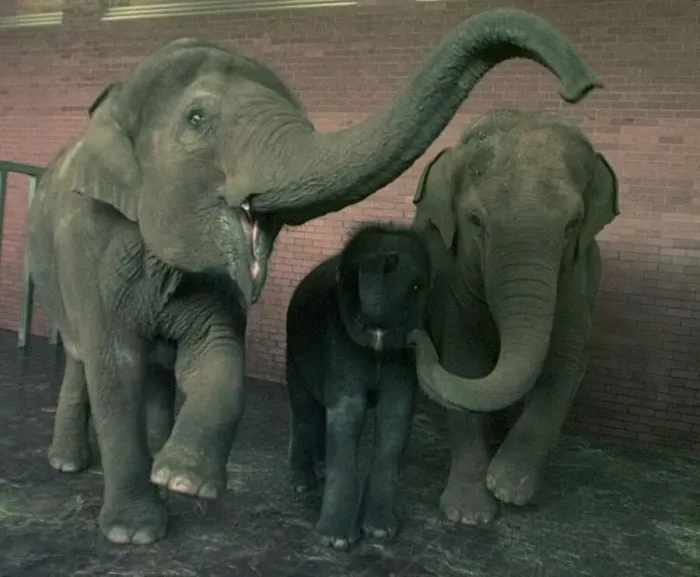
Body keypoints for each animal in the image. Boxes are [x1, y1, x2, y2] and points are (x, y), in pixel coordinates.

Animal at [286, 222, 432, 550]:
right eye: (349, 281)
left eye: (418, 288)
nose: (386, 258)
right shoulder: (338, 337)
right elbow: (349, 413)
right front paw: (336, 541)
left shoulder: (402, 360)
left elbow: (395, 415)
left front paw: (379, 533)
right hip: (293, 350)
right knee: (303, 409)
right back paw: (300, 484)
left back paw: (321, 468)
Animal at [407, 108, 620, 525]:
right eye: (475, 220)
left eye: (573, 223)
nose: (412, 336)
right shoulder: (452, 272)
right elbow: (464, 360)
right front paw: (469, 516)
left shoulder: (576, 276)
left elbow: (564, 361)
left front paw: (509, 487)